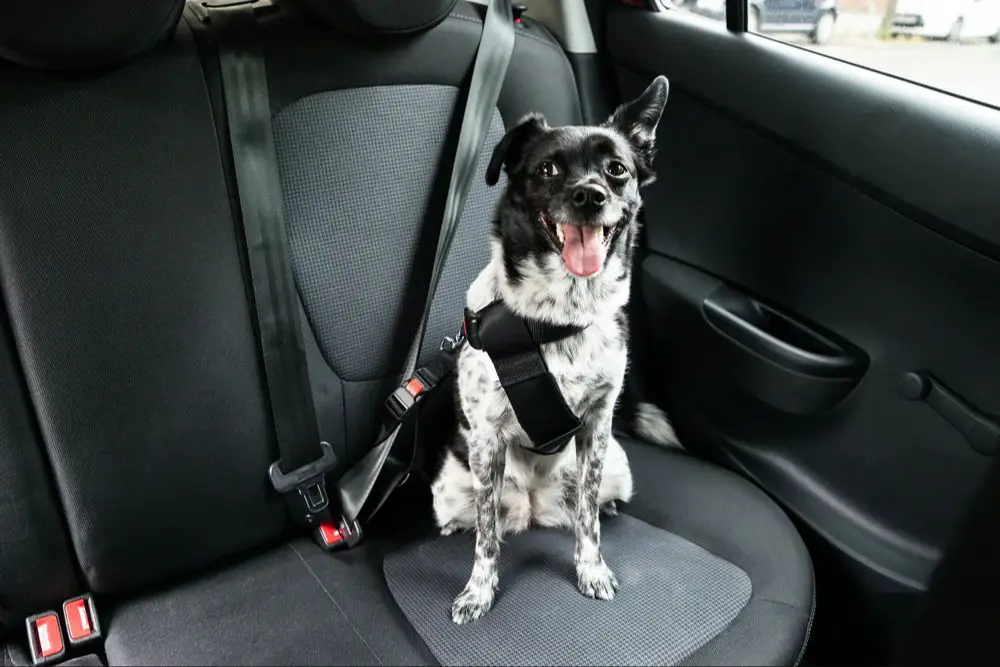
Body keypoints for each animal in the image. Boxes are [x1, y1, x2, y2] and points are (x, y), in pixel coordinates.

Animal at [430, 75, 672, 624]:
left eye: (617, 169)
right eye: (548, 169)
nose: (589, 195)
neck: (556, 318)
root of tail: (535, 507)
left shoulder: (597, 426)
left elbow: (587, 519)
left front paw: (591, 569)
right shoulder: (487, 440)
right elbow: (486, 538)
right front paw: (479, 591)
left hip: (617, 463)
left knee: (589, 503)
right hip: (449, 486)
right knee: (479, 518)